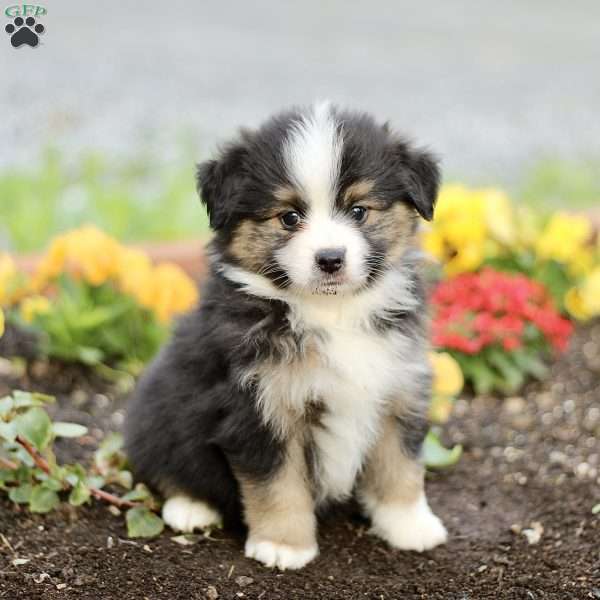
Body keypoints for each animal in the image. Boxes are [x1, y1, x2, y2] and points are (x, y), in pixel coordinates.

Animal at [124, 104, 448, 572]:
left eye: (359, 211)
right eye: (289, 217)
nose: (330, 259)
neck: (332, 314)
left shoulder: (398, 388)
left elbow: (400, 464)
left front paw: (410, 526)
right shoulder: (259, 407)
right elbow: (278, 484)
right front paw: (283, 546)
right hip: (156, 412)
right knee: (167, 467)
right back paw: (190, 508)